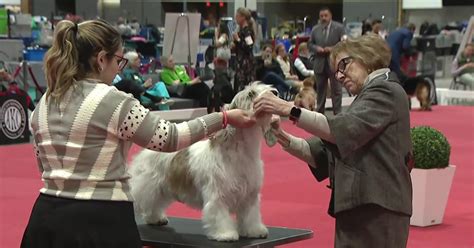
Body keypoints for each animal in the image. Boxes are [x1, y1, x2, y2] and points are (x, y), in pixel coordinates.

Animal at [129, 83, 278, 240]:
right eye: (250, 94)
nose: (275, 93)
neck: (241, 151)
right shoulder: (217, 196)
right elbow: (220, 216)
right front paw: (225, 234)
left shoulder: (250, 196)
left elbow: (251, 216)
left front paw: (254, 231)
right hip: (146, 185)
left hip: (160, 188)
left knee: (154, 205)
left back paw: (155, 218)